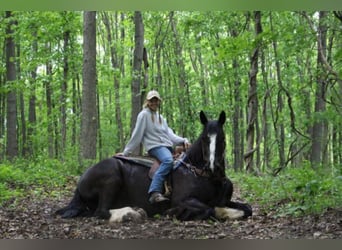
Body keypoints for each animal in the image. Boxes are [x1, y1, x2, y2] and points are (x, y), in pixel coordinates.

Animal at [56, 111, 251, 223]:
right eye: (204, 138)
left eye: (222, 139)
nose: (213, 167)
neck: (200, 174)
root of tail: (82, 180)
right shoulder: (183, 200)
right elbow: (210, 209)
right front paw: (176, 213)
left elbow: (247, 208)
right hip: (112, 177)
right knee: (101, 212)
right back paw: (132, 214)